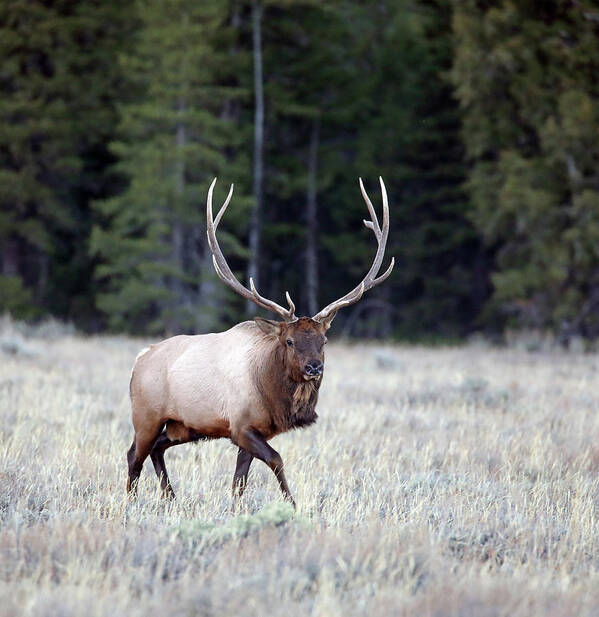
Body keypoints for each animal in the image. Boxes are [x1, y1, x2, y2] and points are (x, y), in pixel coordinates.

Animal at [126, 177, 394, 506]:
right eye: (289, 341)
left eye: (324, 340)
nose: (314, 367)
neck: (272, 395)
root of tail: (140, 359)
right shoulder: (241, 426)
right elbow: (276, 460)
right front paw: (292, 505)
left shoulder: (256, 432)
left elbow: (239, 481)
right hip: (146, 416)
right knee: (133, 455)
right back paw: (130, 503)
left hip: (183, 426)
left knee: (156, 449)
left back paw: (171, 498)